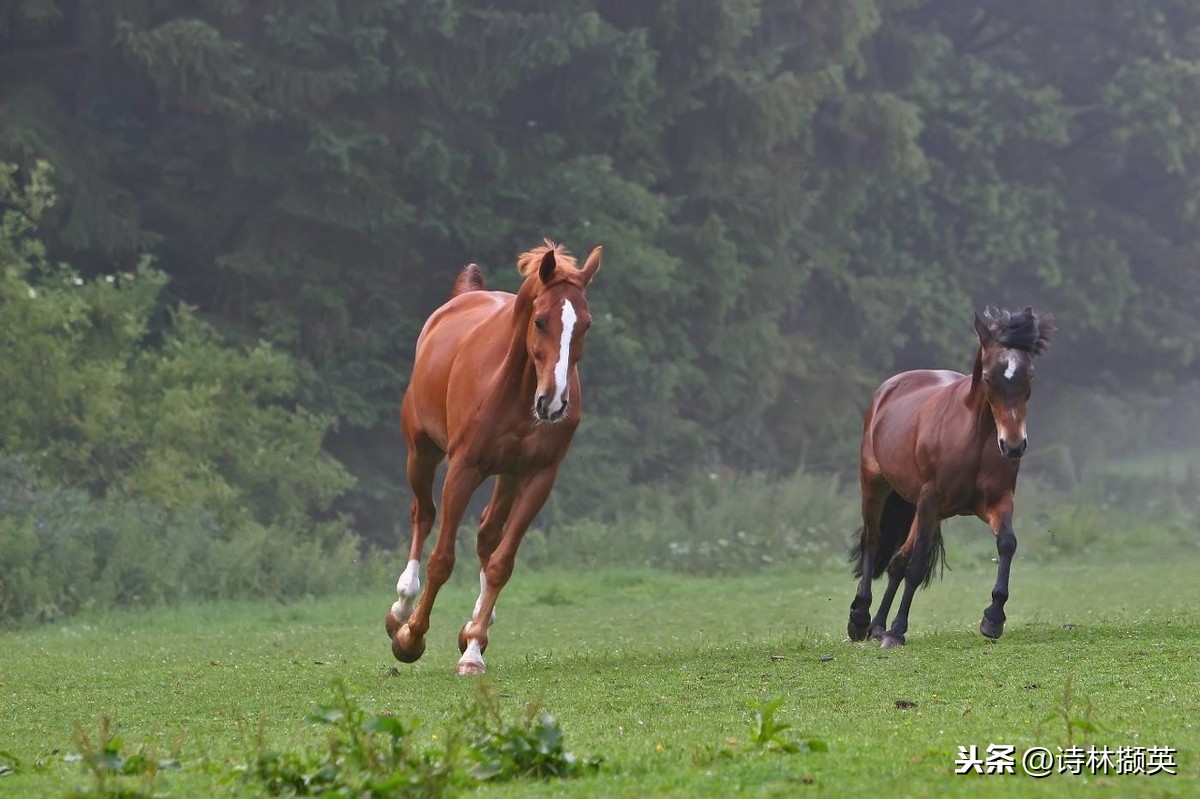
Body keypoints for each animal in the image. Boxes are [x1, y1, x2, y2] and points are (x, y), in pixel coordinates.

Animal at [386, 237, 600, 671]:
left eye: (585, 324)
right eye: (540, 321)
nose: (553, 402)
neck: (515, 388)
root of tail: (464, 296)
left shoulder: (538, 477)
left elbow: (502, 562)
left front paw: (473, 648)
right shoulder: (463, 469)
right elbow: (442, 560)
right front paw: (411, 636)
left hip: (507, 475)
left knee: (487, 533)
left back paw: (472, 626)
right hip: (422, 452)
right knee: (424, 514)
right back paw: (401, 608)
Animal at [849, 304, 1056, 647]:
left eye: (1030, 375)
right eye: (988, 377)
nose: (1013, 445)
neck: (974, 437)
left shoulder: (997, 501)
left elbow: (1007, 544)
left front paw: (993, 618)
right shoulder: (930, 500)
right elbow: (917, 565)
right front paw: (898, 630)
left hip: (919, 508)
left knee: (897, 560)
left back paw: (878, 626)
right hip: (875, 486)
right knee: (874, 544)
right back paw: (860, 619)